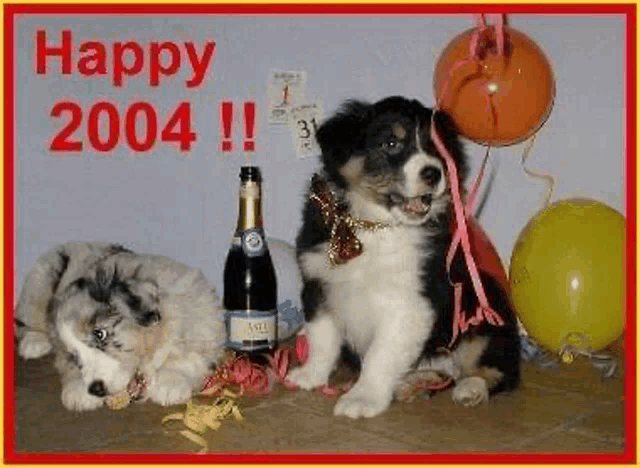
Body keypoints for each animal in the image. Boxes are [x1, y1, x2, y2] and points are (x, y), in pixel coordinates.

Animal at [290, 97, 520, 418]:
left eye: (436, 150)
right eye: (391, 143)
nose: (434, 173)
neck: (375, 225)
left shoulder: (409, 303)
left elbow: (380, 355)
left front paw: (362, 398)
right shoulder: (320, 283)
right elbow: (321, 337)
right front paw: (310, 375)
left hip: (484, 310)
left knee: (496, 371)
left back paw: (469, 389)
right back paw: (417, 382)